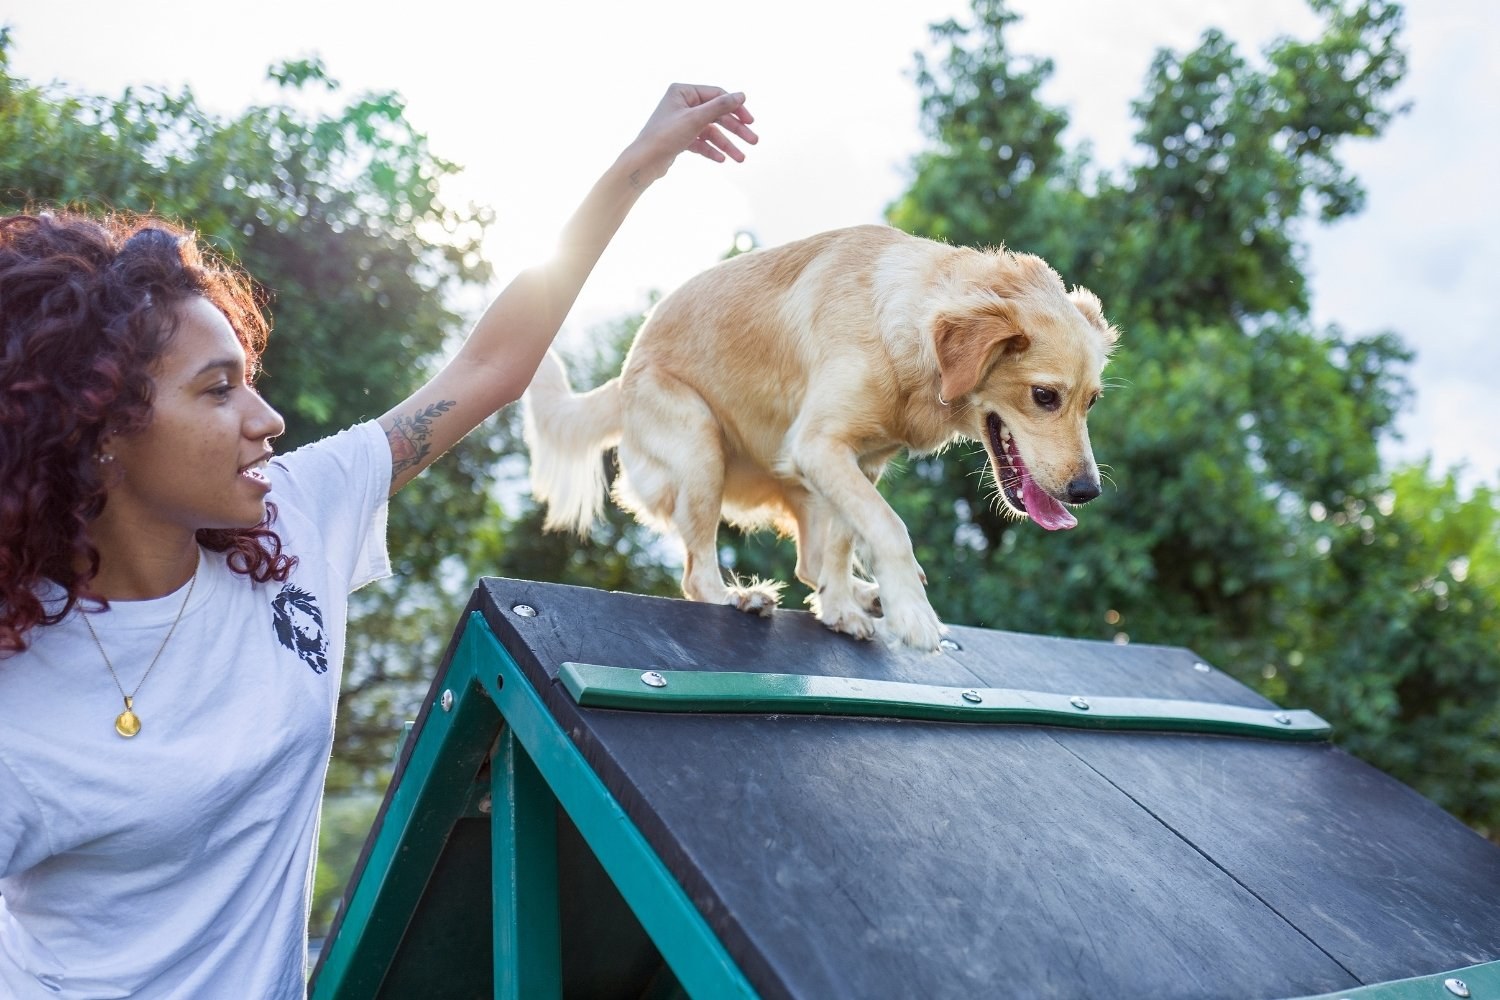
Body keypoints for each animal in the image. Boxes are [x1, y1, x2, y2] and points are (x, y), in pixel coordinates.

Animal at [522, 223, 1122, 653]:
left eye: (1093, 401)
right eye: (1045, 396)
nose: (1087, 492)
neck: (902, 327)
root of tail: (622, 379)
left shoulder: (860, 462)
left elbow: (845, 539)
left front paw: (842, 609)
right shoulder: (820, 446)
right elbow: (889, 527)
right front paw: (912, 613)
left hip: (799, 484)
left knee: (808, 560)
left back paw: (859, 595)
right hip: (701, 446)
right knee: (696, 574)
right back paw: (741, 598)